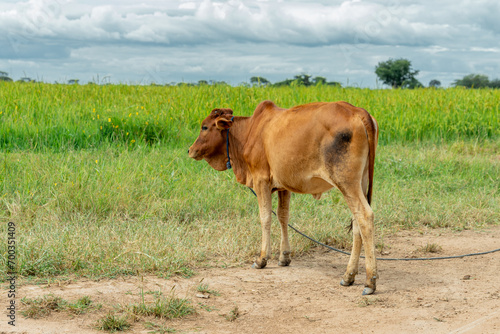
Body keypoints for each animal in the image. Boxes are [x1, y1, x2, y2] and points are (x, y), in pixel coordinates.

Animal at [188, 100, 378, 294]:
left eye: (204, 127)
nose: (190, 150)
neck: (248, 132)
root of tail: (358, 111)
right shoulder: (284, 186)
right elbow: (283, 216)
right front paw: (284, 256)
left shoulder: (261, 180)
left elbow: (265, 217)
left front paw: (262, 258)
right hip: (360, 182)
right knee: (357, 223)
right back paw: (349, 276)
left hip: (347, 182)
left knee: (365, 216)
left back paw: (369, 281)